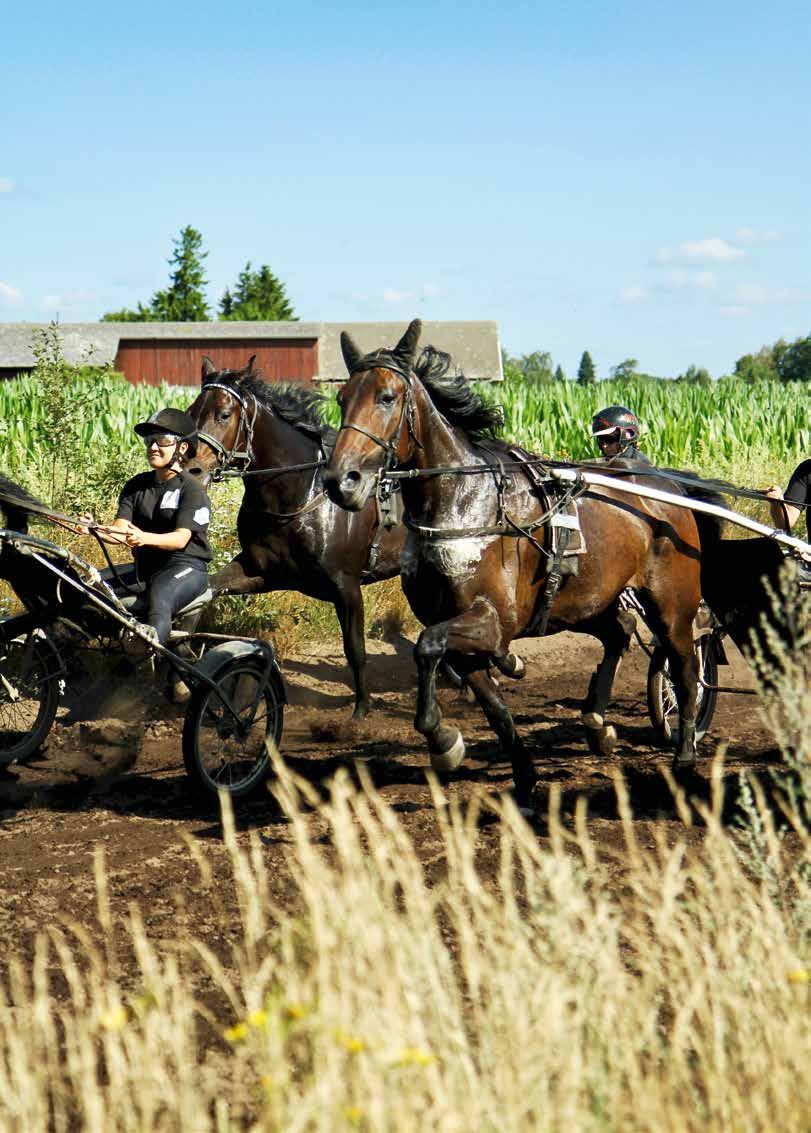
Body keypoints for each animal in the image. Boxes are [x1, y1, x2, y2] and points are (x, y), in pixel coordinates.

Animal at [185, 358, 403, 720]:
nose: (192, 470)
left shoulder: (346, 586)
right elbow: (206, 590)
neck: (301, 493)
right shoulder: (262, 571)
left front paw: (362, 707)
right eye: (191, 412)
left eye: (224, 414)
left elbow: (355, 649)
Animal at [323, 324, 702, 811]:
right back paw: (597, 721)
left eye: (386, 397)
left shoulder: (493, 620)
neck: (464, 505)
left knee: (686, 668)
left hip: (672, 604)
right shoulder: (459, 625)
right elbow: (493, 706)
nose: (340, 481)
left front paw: (442, 737)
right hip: (581, 601)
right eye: (342, 398)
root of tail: (669, 489)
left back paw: (685, 754)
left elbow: (426, 646)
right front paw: (517, 773)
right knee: (618, 630)